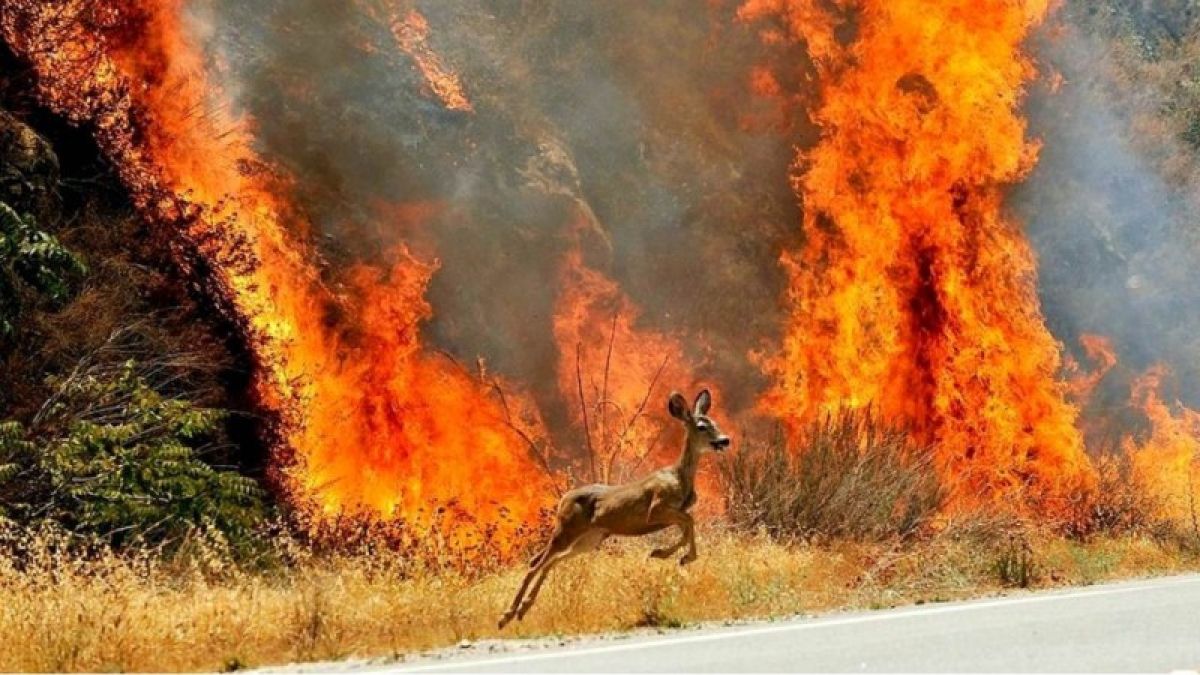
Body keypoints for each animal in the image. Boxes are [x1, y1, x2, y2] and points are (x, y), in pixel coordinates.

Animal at [499, 386, 729, 629]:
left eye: (715, 422)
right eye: (702, 426)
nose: (725, 440)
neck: (680, 477)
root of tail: (563, 499)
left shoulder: (675, 512)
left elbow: (687, 528)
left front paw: (669, 555)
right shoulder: (656, 508)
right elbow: (689, 523)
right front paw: (673, 555)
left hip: (589, 539)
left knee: (550, 561)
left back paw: (522, 609)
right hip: (567, 529)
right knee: (536, 563)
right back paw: (506, 615)